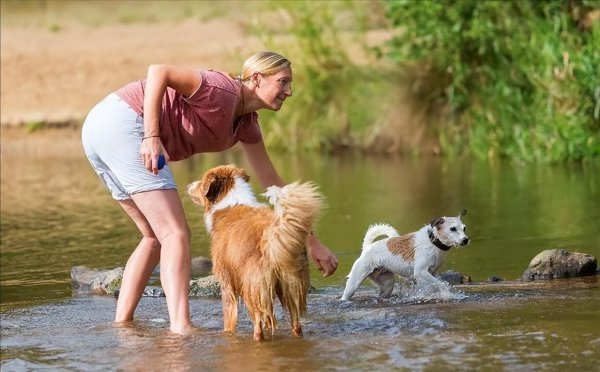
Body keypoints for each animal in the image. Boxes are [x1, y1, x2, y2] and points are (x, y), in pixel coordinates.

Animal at [188, 165, 324, 340]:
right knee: (295, 325)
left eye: (202, 182)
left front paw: (227, 333)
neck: (230, 200)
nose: (189, 185)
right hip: (290, 287)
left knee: (258, 326)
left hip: (252, 288)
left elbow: (229, 318)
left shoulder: (227, 282)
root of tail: (270, 237)